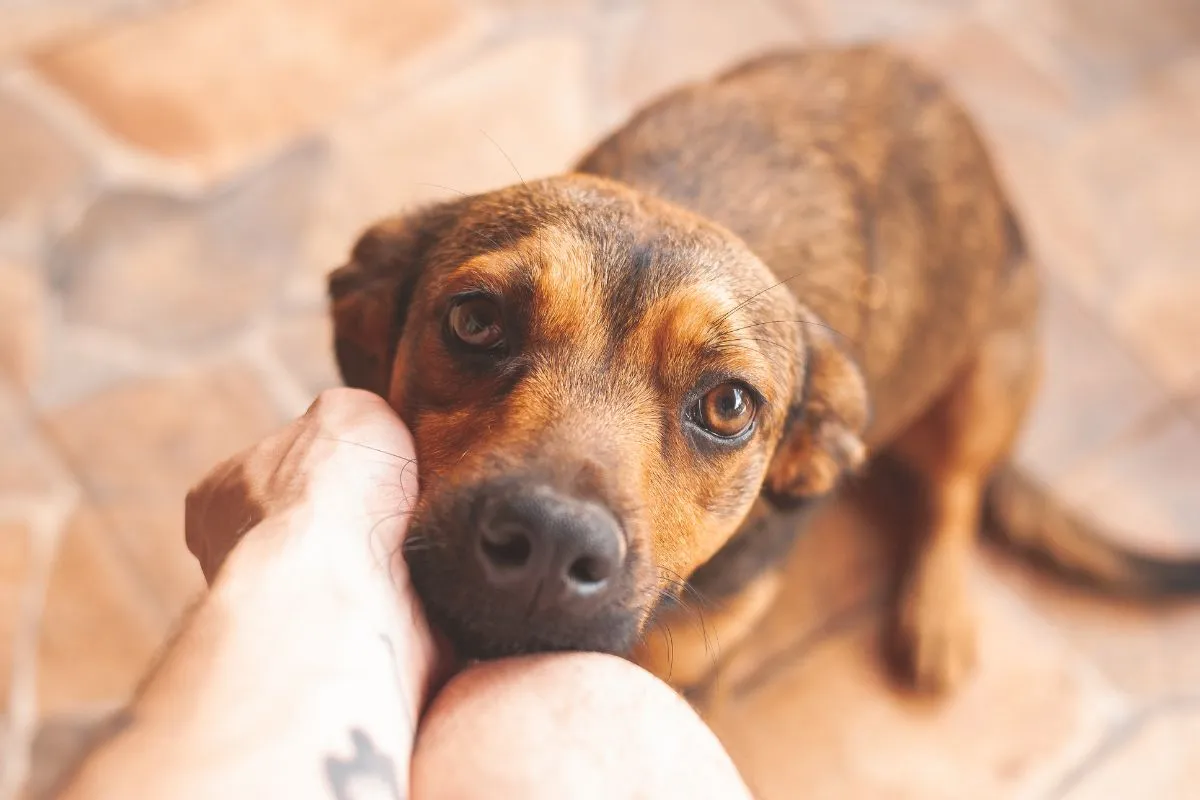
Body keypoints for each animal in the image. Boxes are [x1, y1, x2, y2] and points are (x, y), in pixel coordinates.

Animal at [324, 45, 1200, 695]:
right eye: (475, 321)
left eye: (728, 406)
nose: (548, 540)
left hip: (990, 372)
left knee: (957, 491)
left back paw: (940, 609)